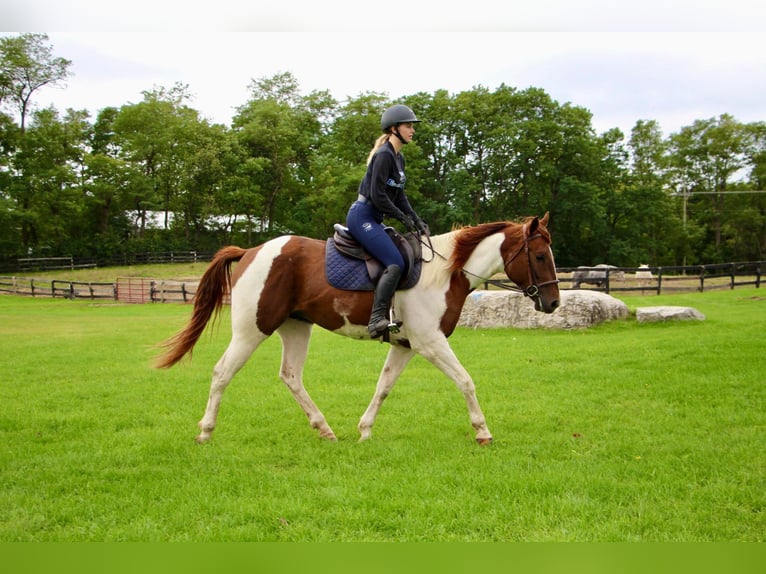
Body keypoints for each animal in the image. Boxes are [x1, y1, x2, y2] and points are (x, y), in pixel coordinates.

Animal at [158, 215, 564, 446]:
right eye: (539, 256)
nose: (554, 303)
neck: (447, 272)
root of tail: (250, 251)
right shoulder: (430, 343)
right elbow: (466, 381)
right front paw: (482, 431)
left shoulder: (406, 345)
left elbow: (383, 386)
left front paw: (365, 430)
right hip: (250, 330)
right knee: (222, 372)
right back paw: (206, 432)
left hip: (295, 328)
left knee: (290, 376)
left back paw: (324, 429)